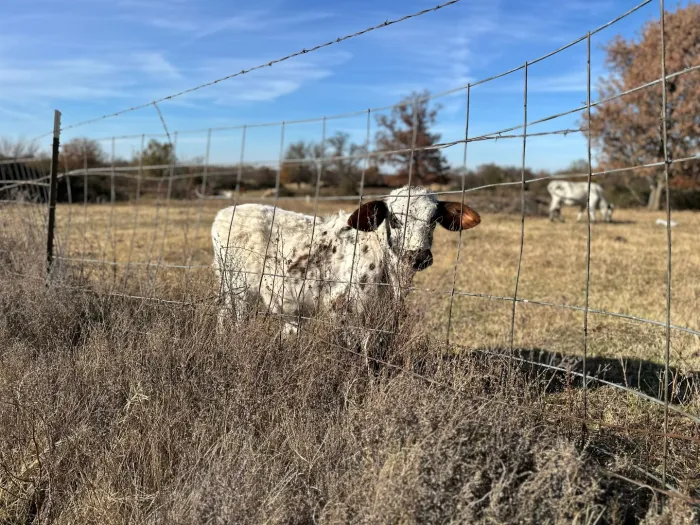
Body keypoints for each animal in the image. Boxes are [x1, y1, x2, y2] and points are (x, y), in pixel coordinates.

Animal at [211, 186, 481, 350]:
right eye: (395, 219)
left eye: (434, 220)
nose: (418, 257)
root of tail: (227, 212)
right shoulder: (342, 307)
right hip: (236, 289)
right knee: (230, 319)